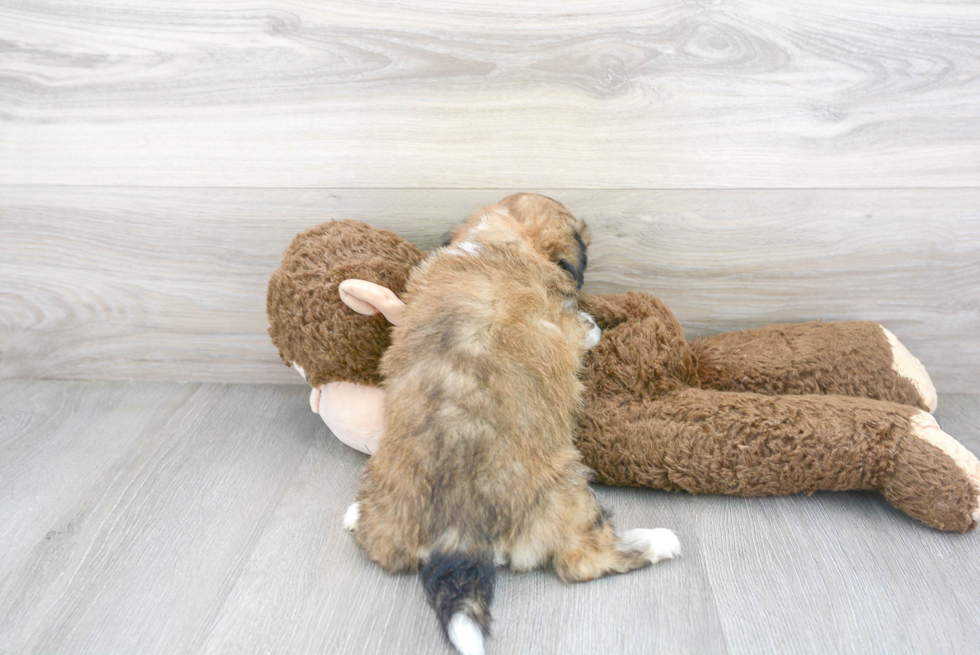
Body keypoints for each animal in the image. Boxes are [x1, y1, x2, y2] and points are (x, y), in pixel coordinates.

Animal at [344, 195, 680, 655]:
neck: (492, 241)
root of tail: (457, 533)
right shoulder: (565, 325)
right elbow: (580, 329)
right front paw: (593, 324)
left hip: (384, 501)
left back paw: (354, 514)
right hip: (568, 491)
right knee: (584, 560)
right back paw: (659, 541)